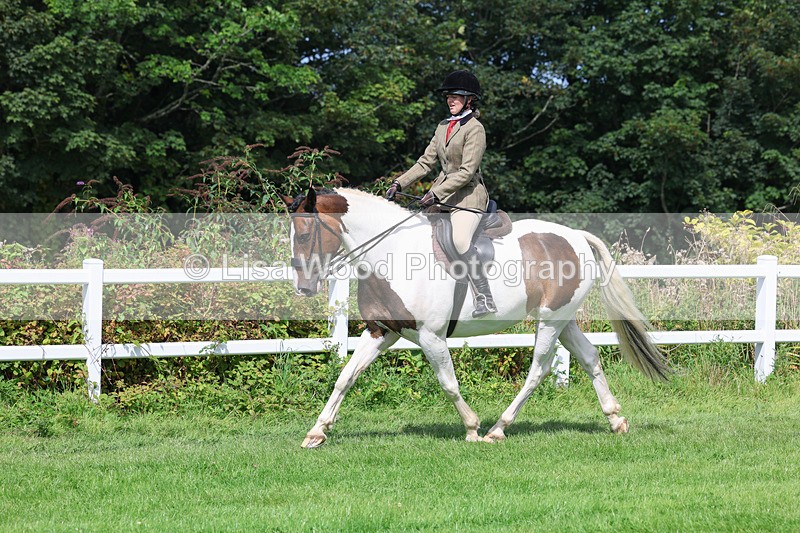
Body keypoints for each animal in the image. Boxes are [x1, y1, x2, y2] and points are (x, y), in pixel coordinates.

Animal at [283, 187, 670, 448]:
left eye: (305, 233)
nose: (303, 287)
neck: (392, 253)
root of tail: (576, 236)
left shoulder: (431, 336)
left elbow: (448, 383)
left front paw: (471, 428)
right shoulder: (381, 332)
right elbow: (345, 377)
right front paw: (317, 432)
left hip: (550, 320)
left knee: (538, 369)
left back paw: (498, 429)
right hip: (564, 319)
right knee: (589, 357)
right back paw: (615, 419)